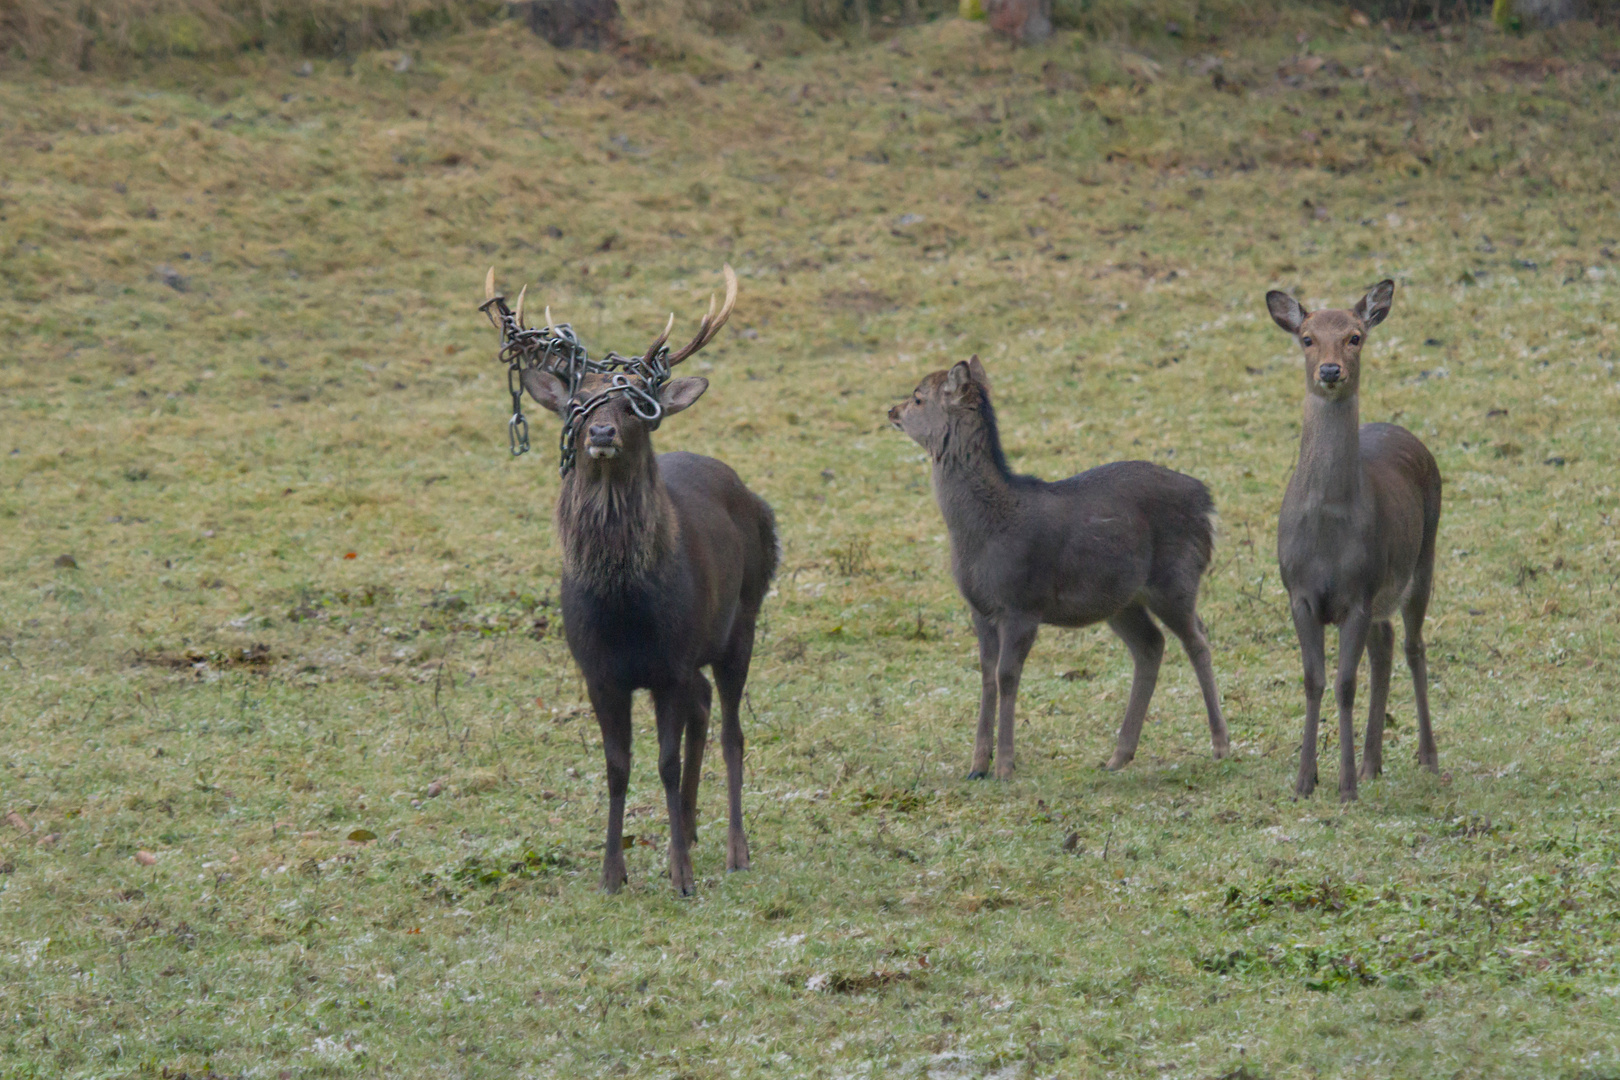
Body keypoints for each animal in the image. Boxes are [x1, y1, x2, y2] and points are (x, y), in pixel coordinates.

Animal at [479, 268, 777, 893]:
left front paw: (681, 876)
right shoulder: (598, 672)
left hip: (742, 620)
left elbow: (664, 762)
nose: (602, 431)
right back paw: (689, 825)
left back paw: (734, 849)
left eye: (638, 406)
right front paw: (612, 872)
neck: (624, 611)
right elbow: (617, 767)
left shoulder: (669, 664)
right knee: (704, 705)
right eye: (574, 402)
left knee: (732, 730)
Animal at [887, 359, 1224, 780]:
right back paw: (1118, 756)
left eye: (918, 397)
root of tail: (1207, 503)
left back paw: (1220, 745)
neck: (981, 537)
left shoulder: (1023, 603)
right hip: (1121, 600)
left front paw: (1005, 765)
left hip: (1175, 578)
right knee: (1151, 644)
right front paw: (977, 765)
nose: (892, 410)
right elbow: (986, 676)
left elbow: (1007, 676)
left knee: (1198, 639)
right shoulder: (979, 608)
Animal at [1263, 278, 1445, 803]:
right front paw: (1305, 781)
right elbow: (1313, 680)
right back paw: (1371, 763)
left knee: (1413, 647)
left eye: (1355, 336)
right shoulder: (1298, 592)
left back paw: (1426, 757)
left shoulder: (1359, 592)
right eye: (1306, 338)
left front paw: (1342, 786)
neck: (1327, 537)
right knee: (1385, 646)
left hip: (1422, 561)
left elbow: (1344, 682)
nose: (1330, 370)